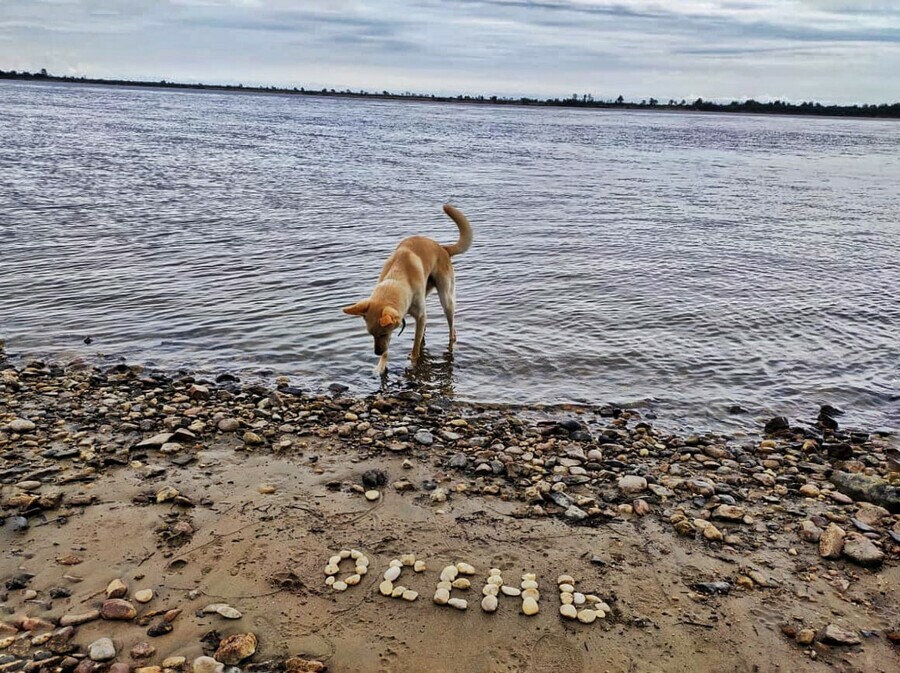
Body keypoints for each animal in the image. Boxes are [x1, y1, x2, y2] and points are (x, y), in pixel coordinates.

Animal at [342, 205, 472, 372]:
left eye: (382, 334)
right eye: (371, 334)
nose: (377, 353)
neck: (397, 278)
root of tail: (443, 248)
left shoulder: (418, 316)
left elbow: (415, 348)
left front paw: (412, 364)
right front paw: (381, 366)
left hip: (447, 300)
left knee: (451, 330)